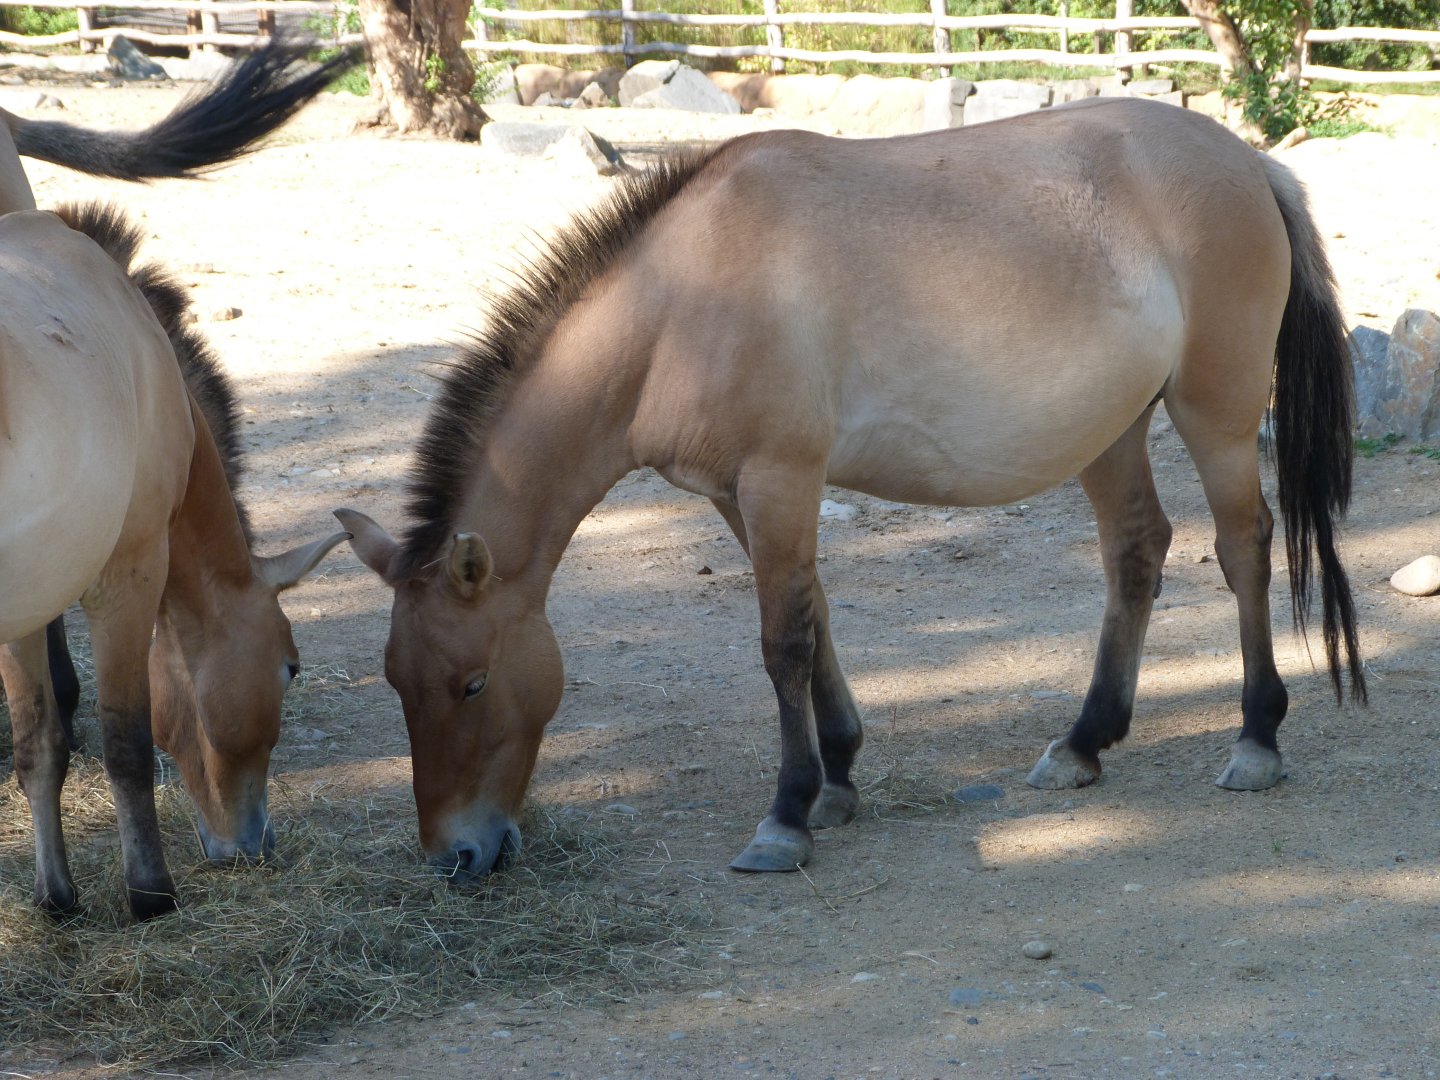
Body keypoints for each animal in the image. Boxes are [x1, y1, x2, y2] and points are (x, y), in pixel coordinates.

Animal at [1, 204, 347, 919]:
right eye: (291, 668)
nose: (257, 844)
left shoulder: (29, 607)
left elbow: (38, 745)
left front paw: (57, 896)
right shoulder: (128, 576)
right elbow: (127, 743)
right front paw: (151, 891)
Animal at [337, 97, 1366, 880]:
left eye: (471, 683)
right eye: (395, 683)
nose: (456, 856)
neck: (682, 302)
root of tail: (1249, 163)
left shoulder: (779, 479)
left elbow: (783, 643)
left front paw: (786, 817)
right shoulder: (739, 495)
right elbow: (815, 620)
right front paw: (837, 780)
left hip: (1214, 415)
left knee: (1243, 548)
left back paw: (1256, 740)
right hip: (1110, 431)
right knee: (1137, 553)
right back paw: (1082, 742)